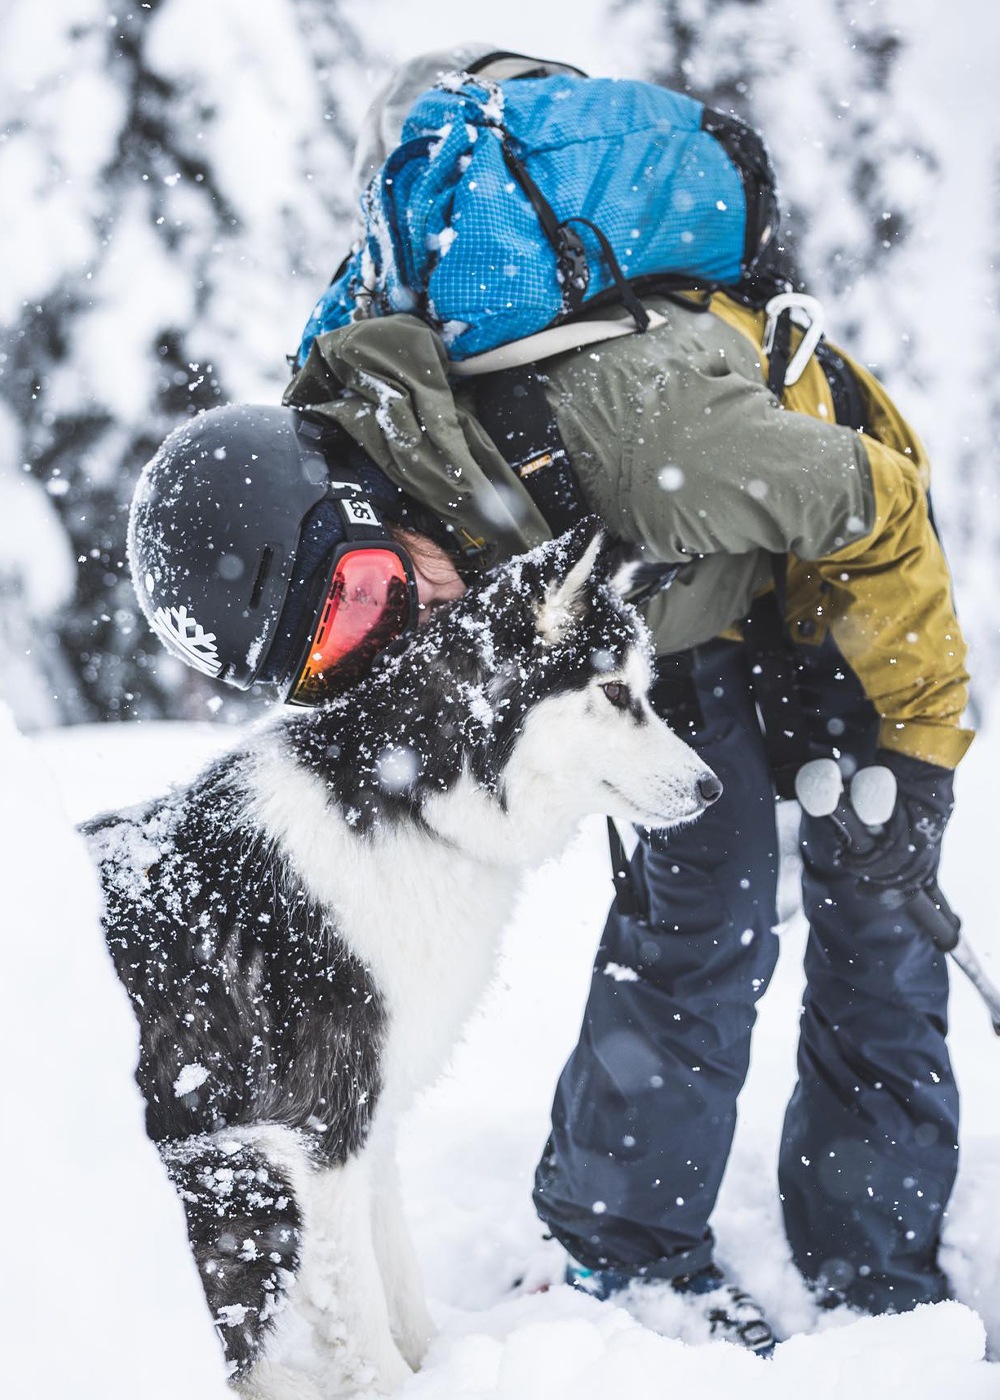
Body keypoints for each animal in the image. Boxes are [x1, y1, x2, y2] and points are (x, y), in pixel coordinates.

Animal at [83, 526, 717, 1400]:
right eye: (618, 694)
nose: (712, 788)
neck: (406, 798)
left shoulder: (369, 1118)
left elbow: (398, 1279)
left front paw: (440, 1364)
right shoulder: (322, 1126)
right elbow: (356, 1302)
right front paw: (391, 1384)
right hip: (242, 1172)